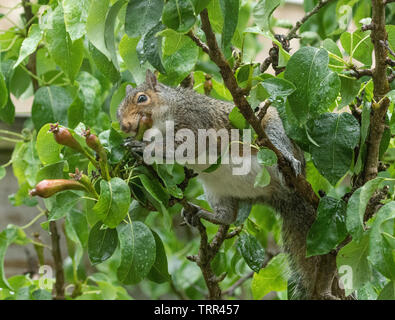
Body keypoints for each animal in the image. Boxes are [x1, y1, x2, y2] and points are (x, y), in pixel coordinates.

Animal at [117, 70, 324, 300]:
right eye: (117, 112)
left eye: (142, 98)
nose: (124, 126)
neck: (170, 107)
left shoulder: (195, 121)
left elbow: (184, 145)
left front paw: (143, 146)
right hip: (217, 191)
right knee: (227, 217)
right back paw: (198, 212)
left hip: (271, 129)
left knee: (278, 145)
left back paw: (288, 162)